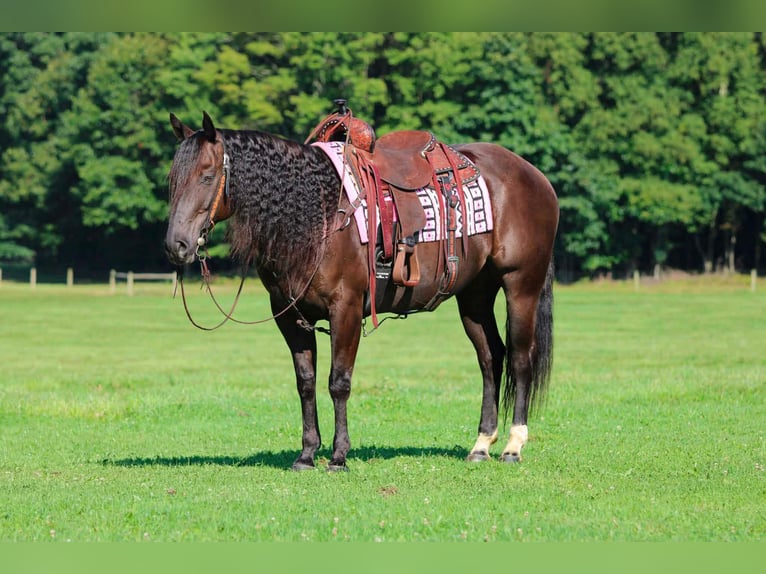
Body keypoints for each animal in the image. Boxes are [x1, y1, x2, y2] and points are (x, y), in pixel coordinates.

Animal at [164, 111, 559, 471]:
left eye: (207, 176)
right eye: (173, 179)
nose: (176, 245)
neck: (319, 214)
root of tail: (534, 175)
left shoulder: (347, 309)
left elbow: (339, 382)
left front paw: (339, 456)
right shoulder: (290, 316)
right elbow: (306, 382)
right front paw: (307, 454)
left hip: (520, 285)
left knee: (520, 358)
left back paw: (513, 446)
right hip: (475, 294)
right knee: (491, 358)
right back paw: (480, 445)